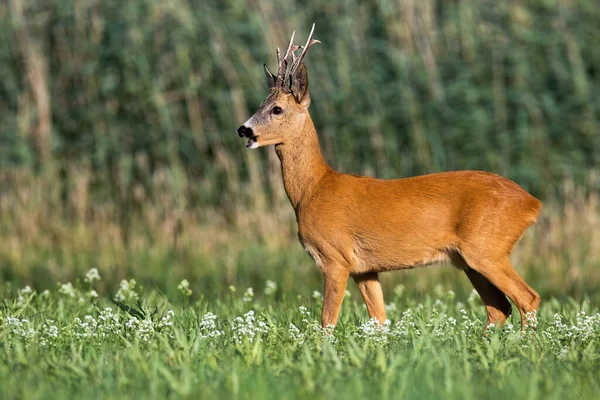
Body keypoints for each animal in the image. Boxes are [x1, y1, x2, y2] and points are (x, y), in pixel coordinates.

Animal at [237, 25, 540, 332]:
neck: (313, 189)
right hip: (469, 258)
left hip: (486, 248)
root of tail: (532, 203)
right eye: (260, 104)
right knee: (499, 308)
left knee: (527, 297)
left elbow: (327, 322)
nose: (243, 129)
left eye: (276, 109)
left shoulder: (335, 257)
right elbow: (380, 320)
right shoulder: (365, 269)